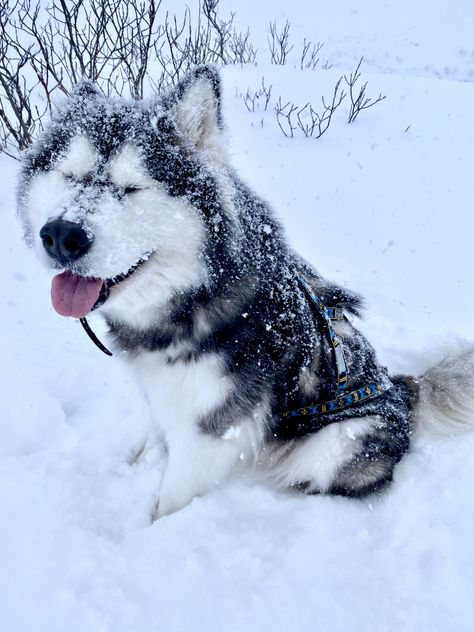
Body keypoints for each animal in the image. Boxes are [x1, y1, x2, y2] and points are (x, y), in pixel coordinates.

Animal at [17, 66, 474, 516]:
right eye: (69, 175)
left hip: (342, 442)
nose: (62, 235)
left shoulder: (212, 431)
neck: (194, 297)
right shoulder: (164, 393)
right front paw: (135, 465)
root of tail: (402, 389)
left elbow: (169, 501)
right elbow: (153, 436)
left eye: (133, 188)